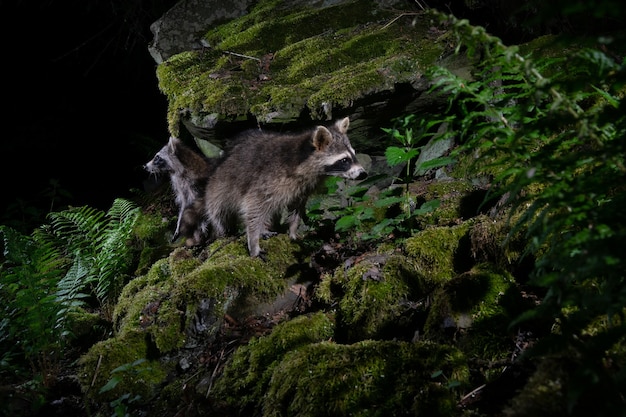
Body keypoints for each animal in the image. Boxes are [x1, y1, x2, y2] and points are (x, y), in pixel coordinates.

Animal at [202, 116, 364, 256]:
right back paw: (226, 232)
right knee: (221, 212)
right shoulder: (269, 180)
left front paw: (292, 231)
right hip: (219, 187)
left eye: (354, 154)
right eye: (344, 160)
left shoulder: (302, 187)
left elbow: (296, 208)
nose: (363, 174)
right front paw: (254, 242)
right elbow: (254, 207)